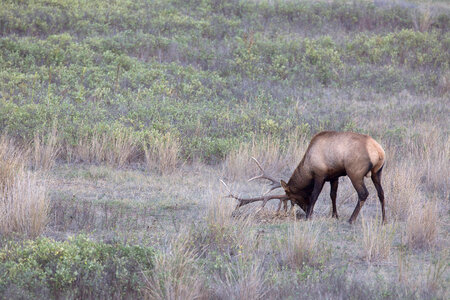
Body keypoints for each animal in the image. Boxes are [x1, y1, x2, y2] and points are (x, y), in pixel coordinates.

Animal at [221, 130, 384, 224]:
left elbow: (315, 195)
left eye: (293, 198)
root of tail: (379, 152)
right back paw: (384, 220)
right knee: (381, 193)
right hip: (377, 172)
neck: (308, 167)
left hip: (355, 172)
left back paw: (351, 220)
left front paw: (309, 217)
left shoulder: (320, 174)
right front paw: (334, 215)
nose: (305, 211)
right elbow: (333, 195)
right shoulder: (334, 175)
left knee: (364, 193)